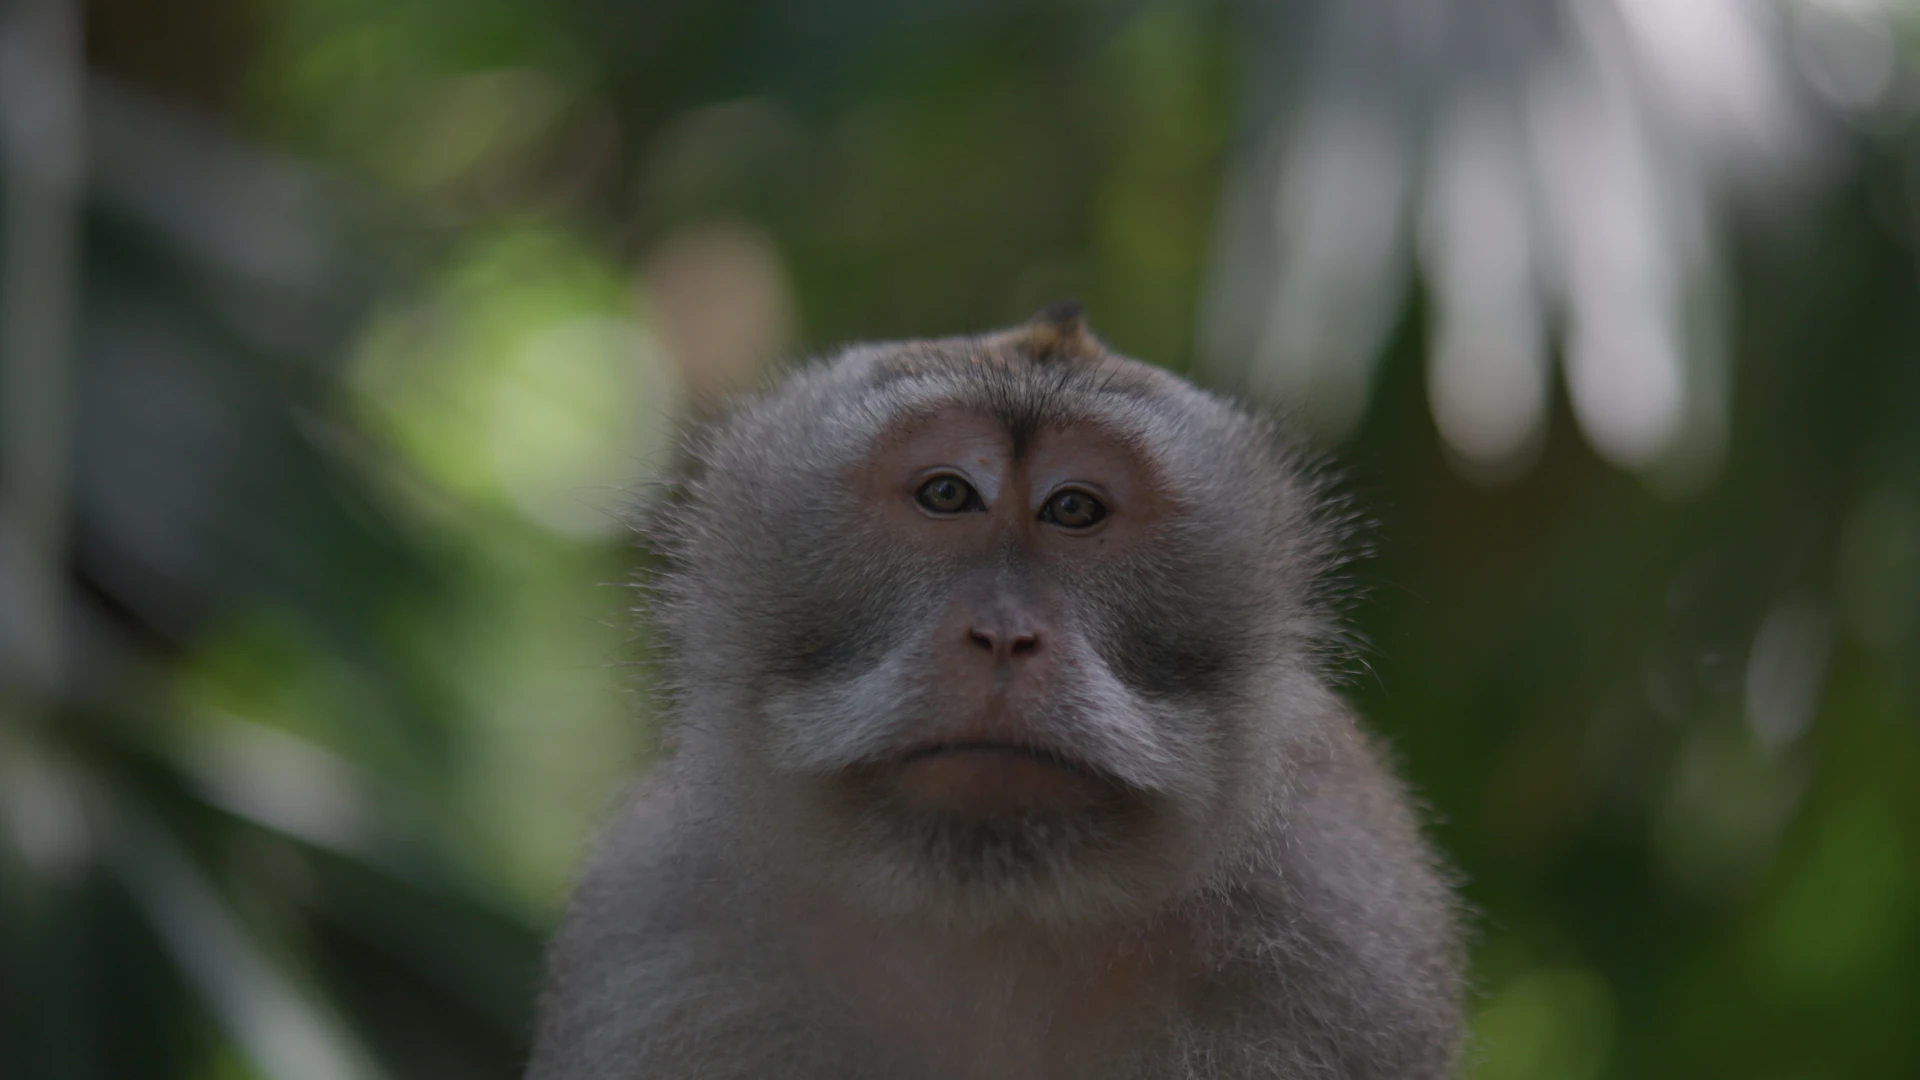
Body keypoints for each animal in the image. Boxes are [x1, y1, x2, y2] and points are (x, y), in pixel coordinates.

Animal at [525, 304, 1464, 1080]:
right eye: (948, 493)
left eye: (1074, 508)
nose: (1004, 633)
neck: (991, 915)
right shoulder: (665, 927)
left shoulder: (1338, 933)